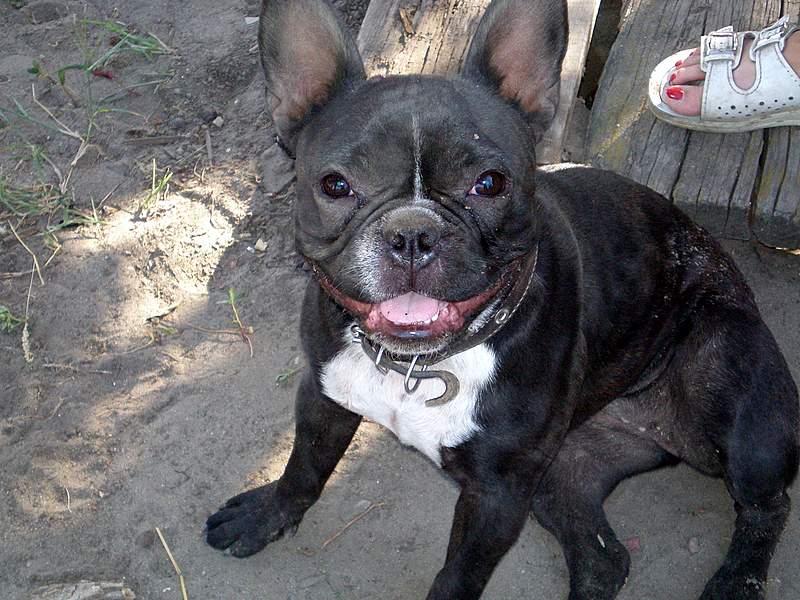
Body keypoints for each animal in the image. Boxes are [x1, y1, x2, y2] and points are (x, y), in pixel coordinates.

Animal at [205, 0, 800, 598]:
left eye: (489, 184)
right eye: (335, 185)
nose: (413, 233)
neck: (418, 365)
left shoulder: (497, 494)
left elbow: (459, 574)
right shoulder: (324, 393)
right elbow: (304, 465)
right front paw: (267, 514)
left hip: (727, 382)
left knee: (765, 503)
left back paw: (737, 580)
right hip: (561, 472)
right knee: (603, 556)